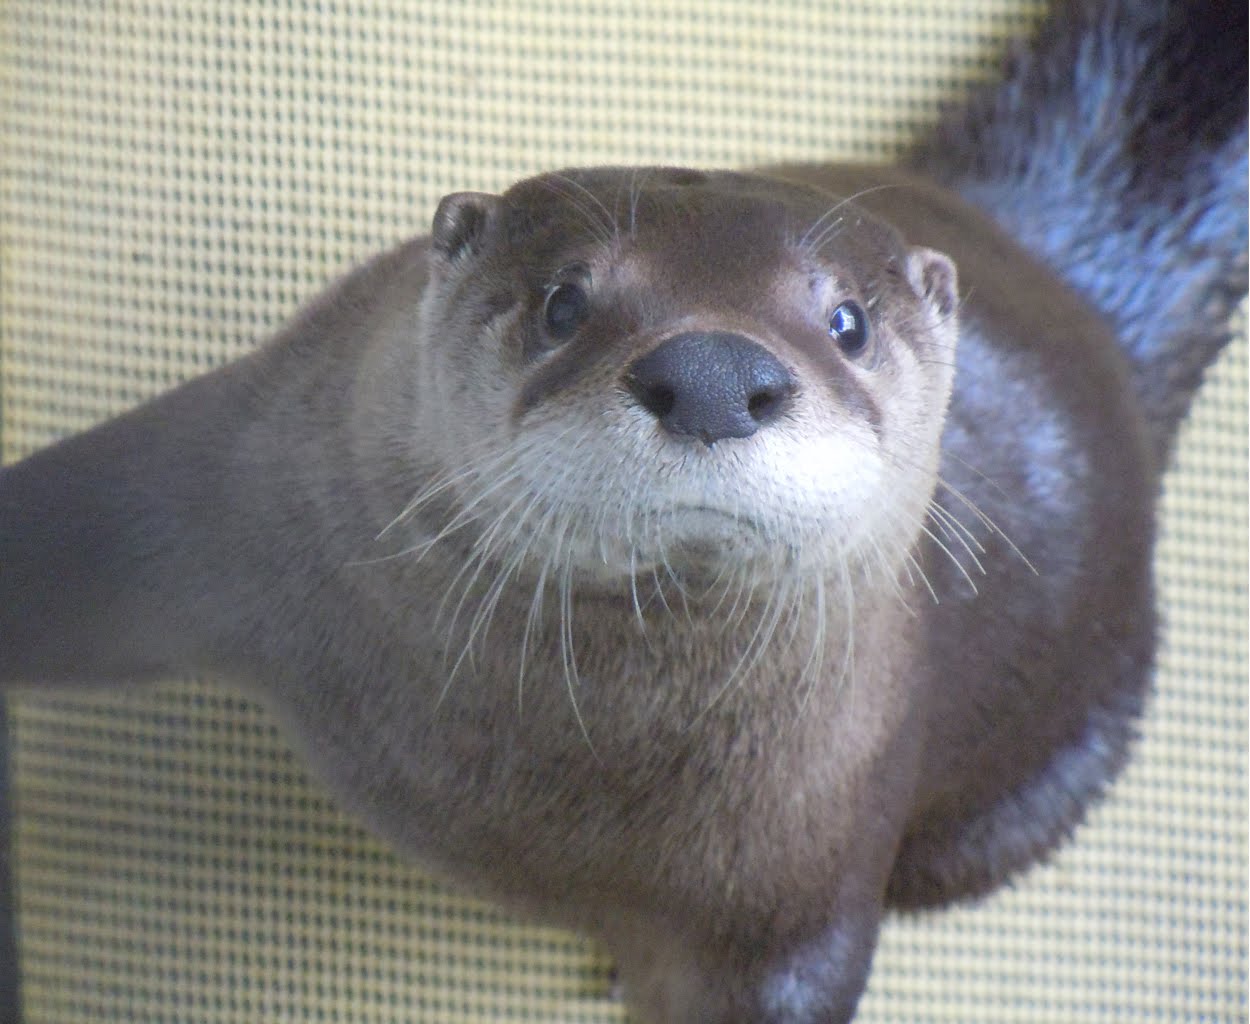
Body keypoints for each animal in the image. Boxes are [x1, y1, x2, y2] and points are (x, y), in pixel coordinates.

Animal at [1, 0, 1245, 1021]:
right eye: (564, 302)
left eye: (844, 321)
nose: (712, 374)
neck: (529, 766)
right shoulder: (236, 479)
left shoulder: (799, 883)